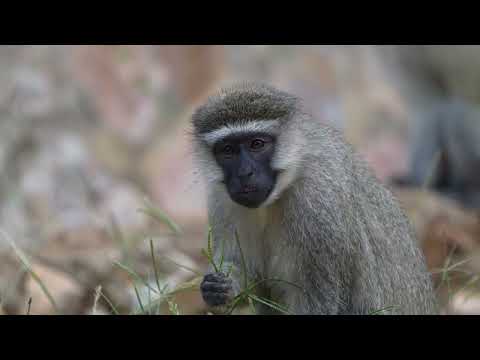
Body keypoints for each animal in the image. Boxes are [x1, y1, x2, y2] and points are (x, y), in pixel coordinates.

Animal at [191, 83, 438, 314]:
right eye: (228, 150)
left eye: (256, 144)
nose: (244, 173)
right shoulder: (222, 201)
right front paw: (221, 286)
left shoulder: (318, 204)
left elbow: (320, 301)